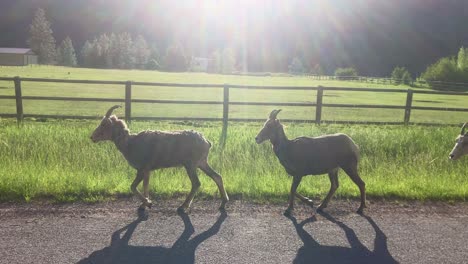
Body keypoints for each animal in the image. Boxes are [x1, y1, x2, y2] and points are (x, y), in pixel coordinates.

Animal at [90, 105, 229, 212]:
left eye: (104, 124)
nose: (92, 137)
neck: (131, 144)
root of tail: (206, 142)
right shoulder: (147, 171)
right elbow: (145, 186)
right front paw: (144, 204)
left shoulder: (142, 169)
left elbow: (133, 187)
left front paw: (148, 203)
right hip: (201, 163)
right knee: (217, 176)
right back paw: (223, 203)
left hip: (191, 165)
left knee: (196, 183)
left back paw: (183, 206)